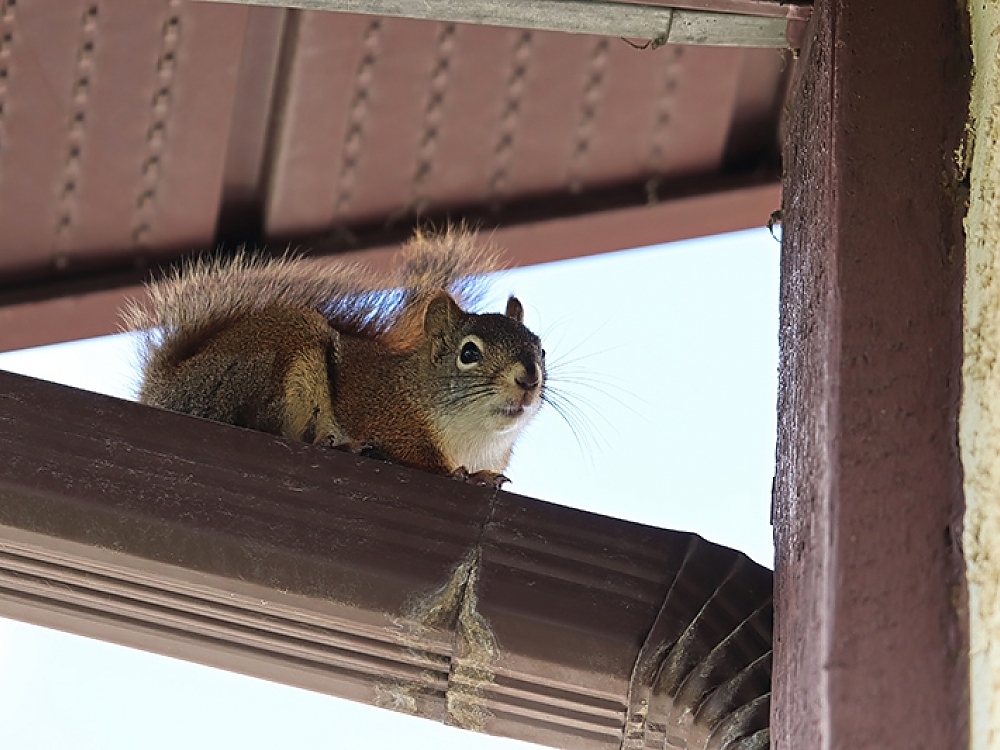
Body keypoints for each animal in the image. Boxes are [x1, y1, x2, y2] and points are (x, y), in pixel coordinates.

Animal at [123, 227, 545, 487]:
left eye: (540, 349)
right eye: (469, 352)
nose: (529, 377)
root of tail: (168, 388)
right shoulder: (391, 421)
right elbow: (419, 458)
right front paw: (466, 476)